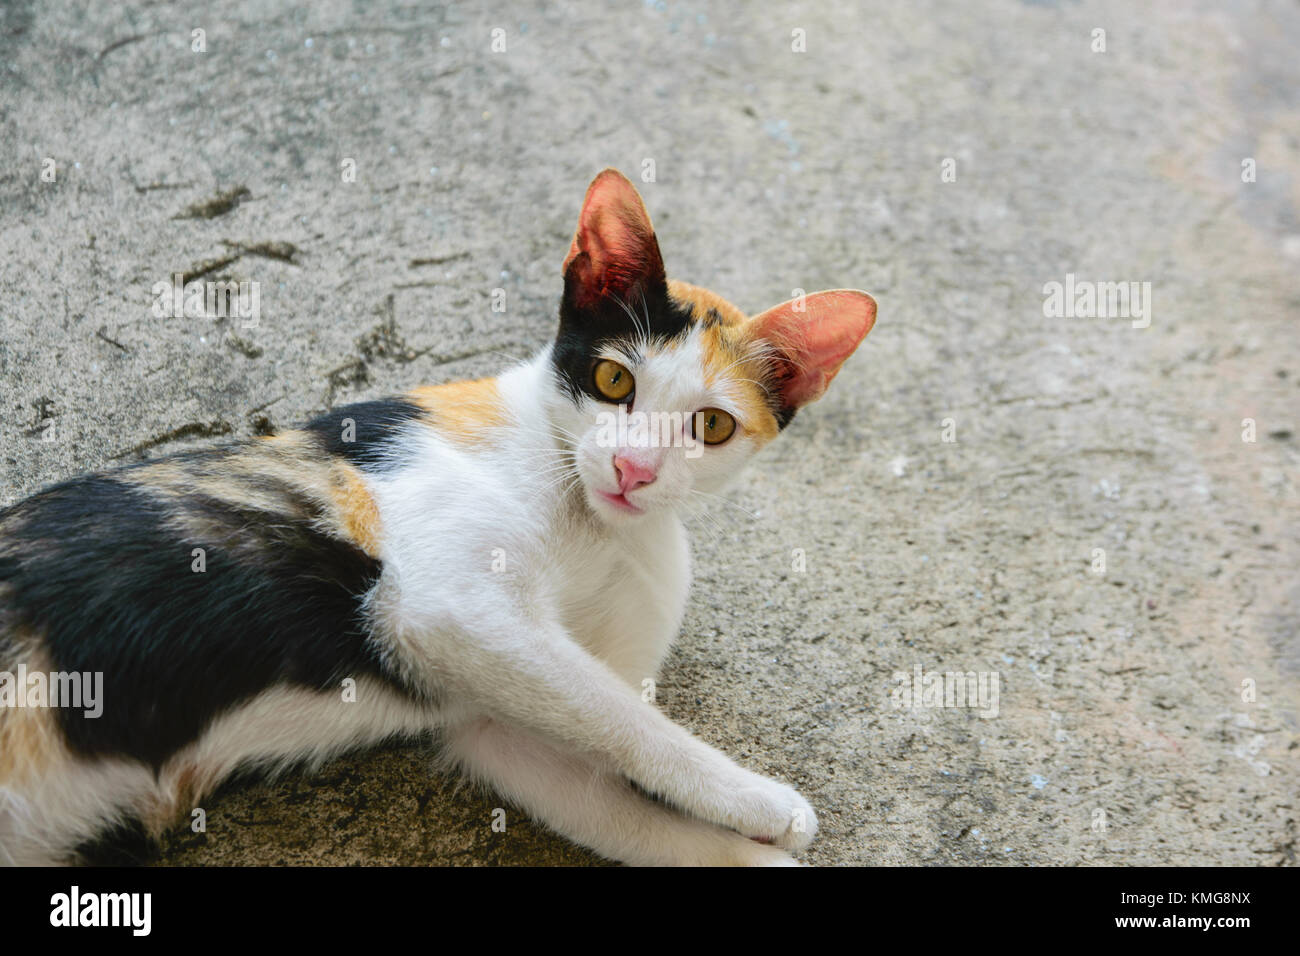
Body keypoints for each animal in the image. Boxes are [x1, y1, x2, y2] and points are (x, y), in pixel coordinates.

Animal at [0, 167, 878, 863]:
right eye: (613, 381)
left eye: (712, 426)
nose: (634, 469)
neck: (595, 526)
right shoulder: (444, 609)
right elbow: (627, 719)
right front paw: (764, 801)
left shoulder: (498, 727)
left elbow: (622, 798)